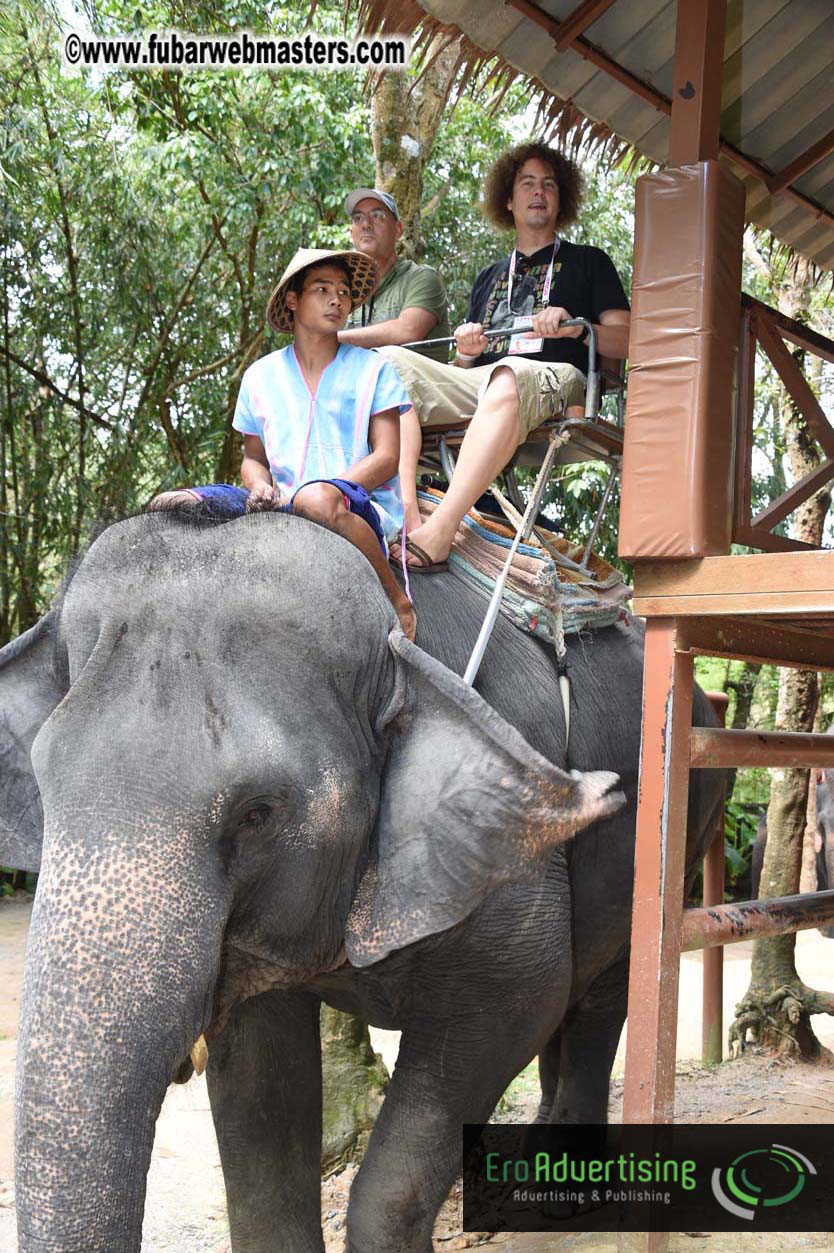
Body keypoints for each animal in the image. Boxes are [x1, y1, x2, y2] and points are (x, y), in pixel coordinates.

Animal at [1, 509, 726, 1252]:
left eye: (257, 812)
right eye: (44, 783)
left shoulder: (513, 848)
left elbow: (519, 1000)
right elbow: (260, 1080)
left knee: (603, 991)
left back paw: (564, 1201)